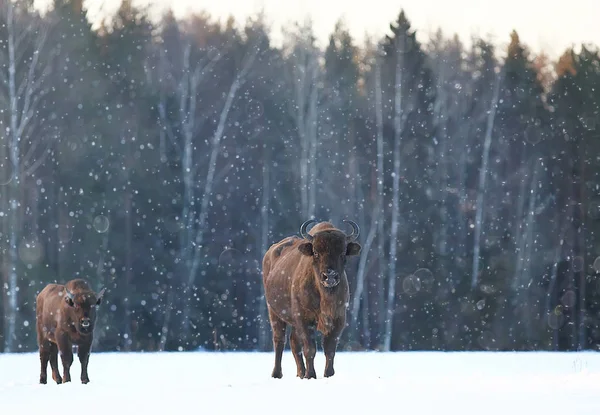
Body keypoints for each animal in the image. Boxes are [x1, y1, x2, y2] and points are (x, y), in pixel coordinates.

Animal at [262, 221, 360, 380]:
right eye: (316, 252)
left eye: (342, 253)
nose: (329, 276)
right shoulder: (304, 319)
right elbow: (310, 348)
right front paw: (310, 375)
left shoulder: (338, 319)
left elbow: (330, 349)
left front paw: (328, 374)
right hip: (274, 313)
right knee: (279, 340)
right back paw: (277, 374)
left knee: (294, 342)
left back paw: (300, 373)